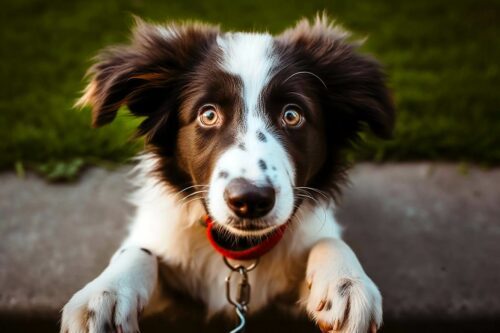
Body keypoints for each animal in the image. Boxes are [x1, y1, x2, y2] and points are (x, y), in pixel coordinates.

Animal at [60, 14, 394, 332]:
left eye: (292, 115)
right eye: (208, 114)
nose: (250, 200)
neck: (239, 249)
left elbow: (329, 241)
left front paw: (348, 284)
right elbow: (138, 252)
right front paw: (105, 294)